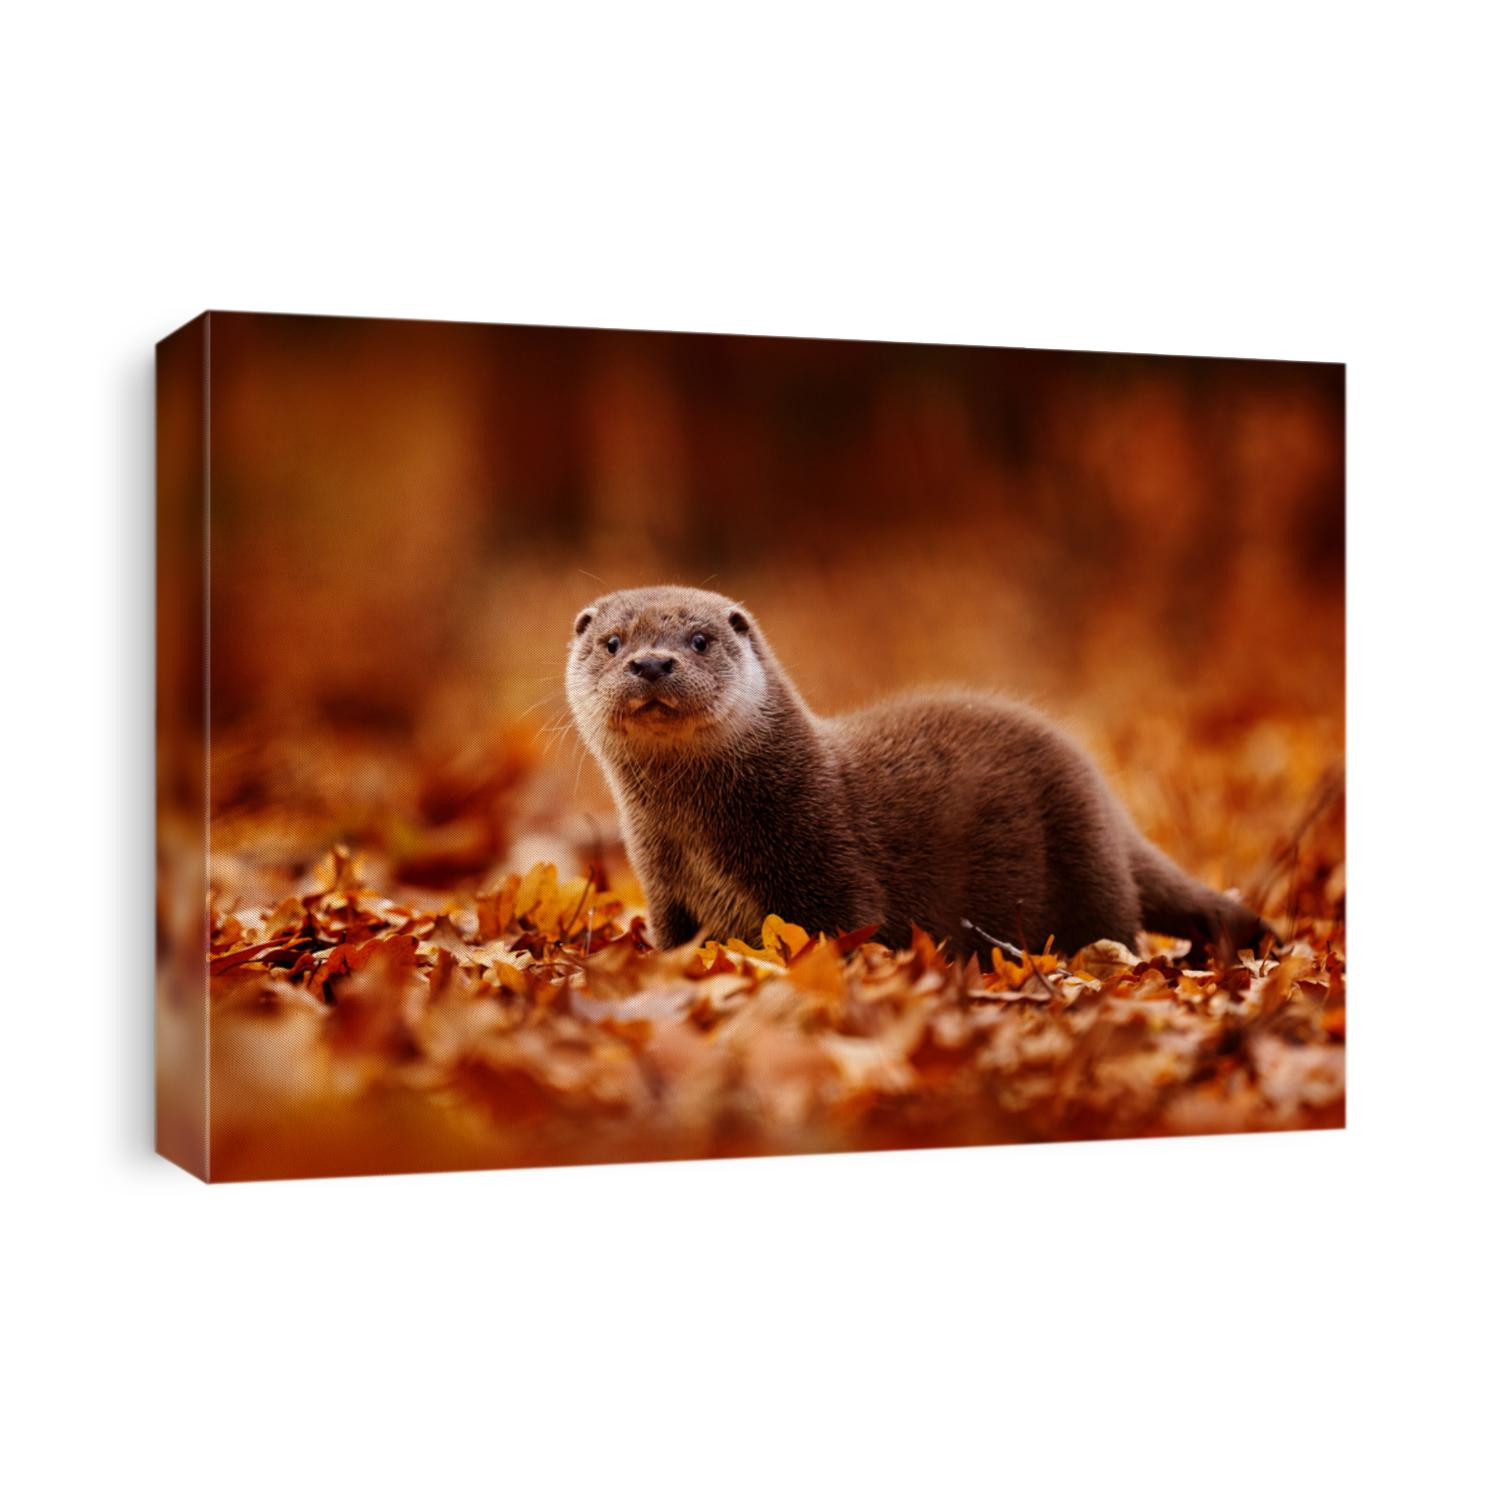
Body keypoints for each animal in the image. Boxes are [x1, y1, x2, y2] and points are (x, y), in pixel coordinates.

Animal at [565, 585, 1272, 962]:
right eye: (612, 643)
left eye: (700, 640)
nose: (651, 664)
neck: (703, 839)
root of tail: (1103, 794)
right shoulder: (664, 890)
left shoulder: (831, 866)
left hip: (1084, 856)